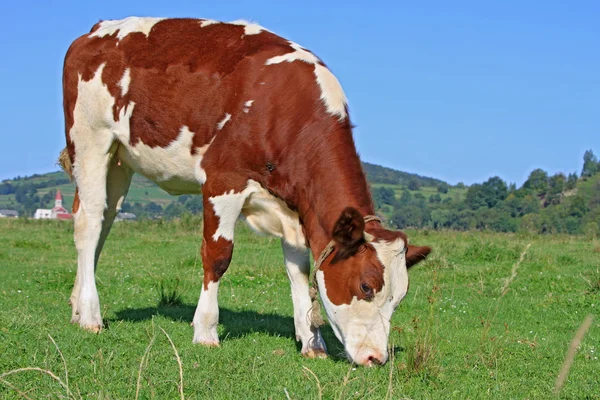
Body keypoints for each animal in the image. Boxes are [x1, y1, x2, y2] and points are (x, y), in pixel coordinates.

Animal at [62, 16, 432, 366]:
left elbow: (298, 270)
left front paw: (312, 342)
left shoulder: (294, 207)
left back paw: (77, 307)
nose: (376, 358)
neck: (284, 108)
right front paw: (206, 331)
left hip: (120, 160)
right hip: (91, 141)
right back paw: (91, 315)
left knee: (102, 221)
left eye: (399, 298)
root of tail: (98, 29)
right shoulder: (223, 180)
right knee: (89, 223)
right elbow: (218, 256)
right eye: (366, 286)